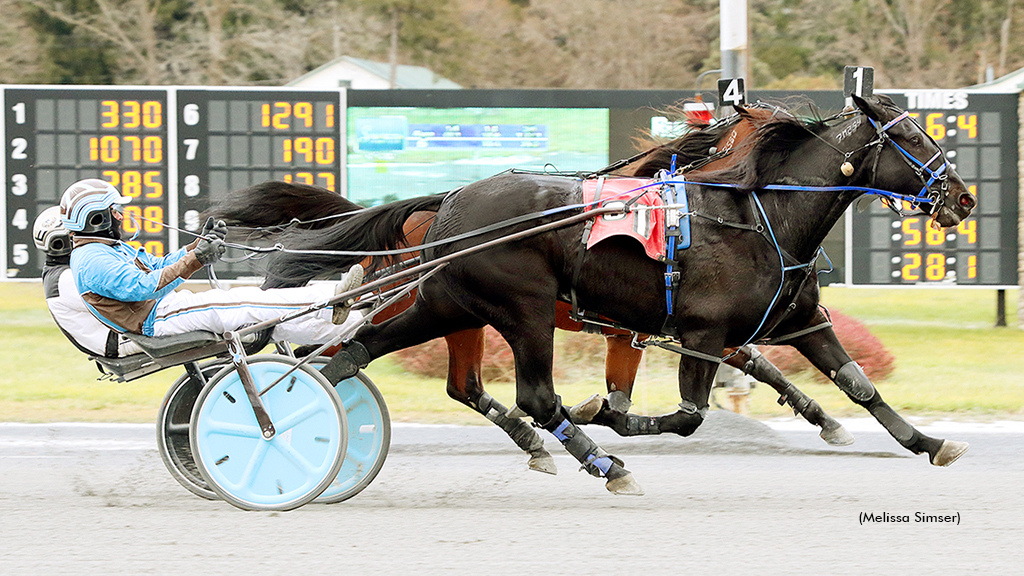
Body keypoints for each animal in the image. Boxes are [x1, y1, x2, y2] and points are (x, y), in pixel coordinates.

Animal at [260, 95, 970, 494]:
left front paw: (926, 442)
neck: (758, 215)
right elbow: (685, 415)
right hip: (521, 310)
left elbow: (859, 386)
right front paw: (603, 413)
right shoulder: (704, 333)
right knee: (534, 397)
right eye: (913, 139)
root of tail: (454, 202)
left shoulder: (799, 320)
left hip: (447, 302)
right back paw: (599, 461)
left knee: (367, 353)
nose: (961, 198)